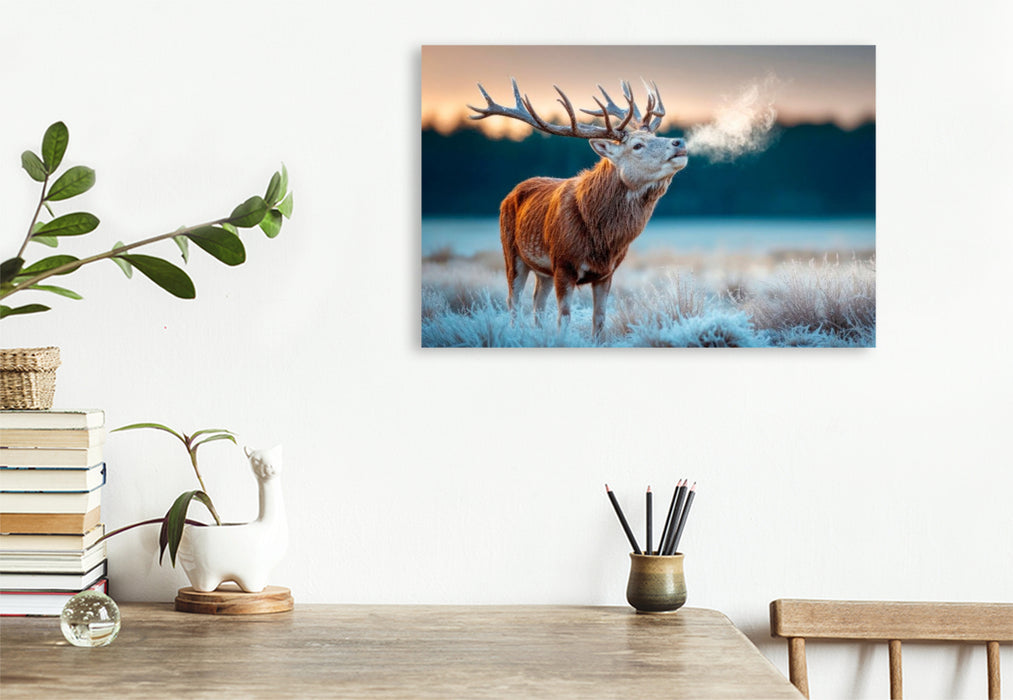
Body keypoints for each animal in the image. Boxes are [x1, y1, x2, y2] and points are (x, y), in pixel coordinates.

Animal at [469, 79, 688, 341]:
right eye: (637, 145)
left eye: (654, 135)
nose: (679, 142)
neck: (601, 241)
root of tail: (511, 193)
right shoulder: (564, 263)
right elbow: (564, 316)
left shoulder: (606, 273)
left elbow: (599, 318)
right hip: (511, 251)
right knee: (514, 300)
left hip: (543, 270)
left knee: (537, 301)